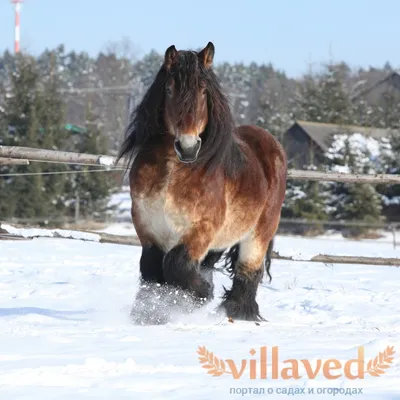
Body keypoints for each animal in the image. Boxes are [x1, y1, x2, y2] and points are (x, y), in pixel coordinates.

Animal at [115, 43, 288, 324]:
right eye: (169, 89)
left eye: (204, 91)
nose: (187, 147)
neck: (172, 172)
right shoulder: (148, 228)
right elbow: (151, 270)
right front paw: (149, 315)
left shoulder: (201, 229)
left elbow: (176, 264)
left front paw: (201, 295)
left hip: (258, 235)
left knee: (248, 272)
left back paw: (238, 313)